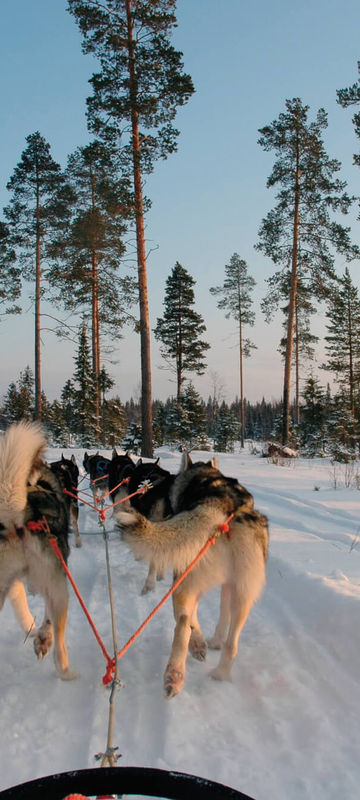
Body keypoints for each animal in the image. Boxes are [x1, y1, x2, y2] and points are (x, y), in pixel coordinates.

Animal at [0, 422, 77, 680]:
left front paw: (33, 631)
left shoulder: (13, 584)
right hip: (61, 592)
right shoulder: (54, 579)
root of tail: (21, 517)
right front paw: (42, 637)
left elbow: (24, 612)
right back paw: (66, 671)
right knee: (60, 648)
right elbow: (47, 621)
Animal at [115, 454, 268, 696]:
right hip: (243, 593)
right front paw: (215, 641)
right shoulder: (228, 585)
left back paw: (177, 672)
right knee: (232, 642)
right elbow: (222, 616)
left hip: (184, 581)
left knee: (183, 622)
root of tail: (223, 504)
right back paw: (220, 673)